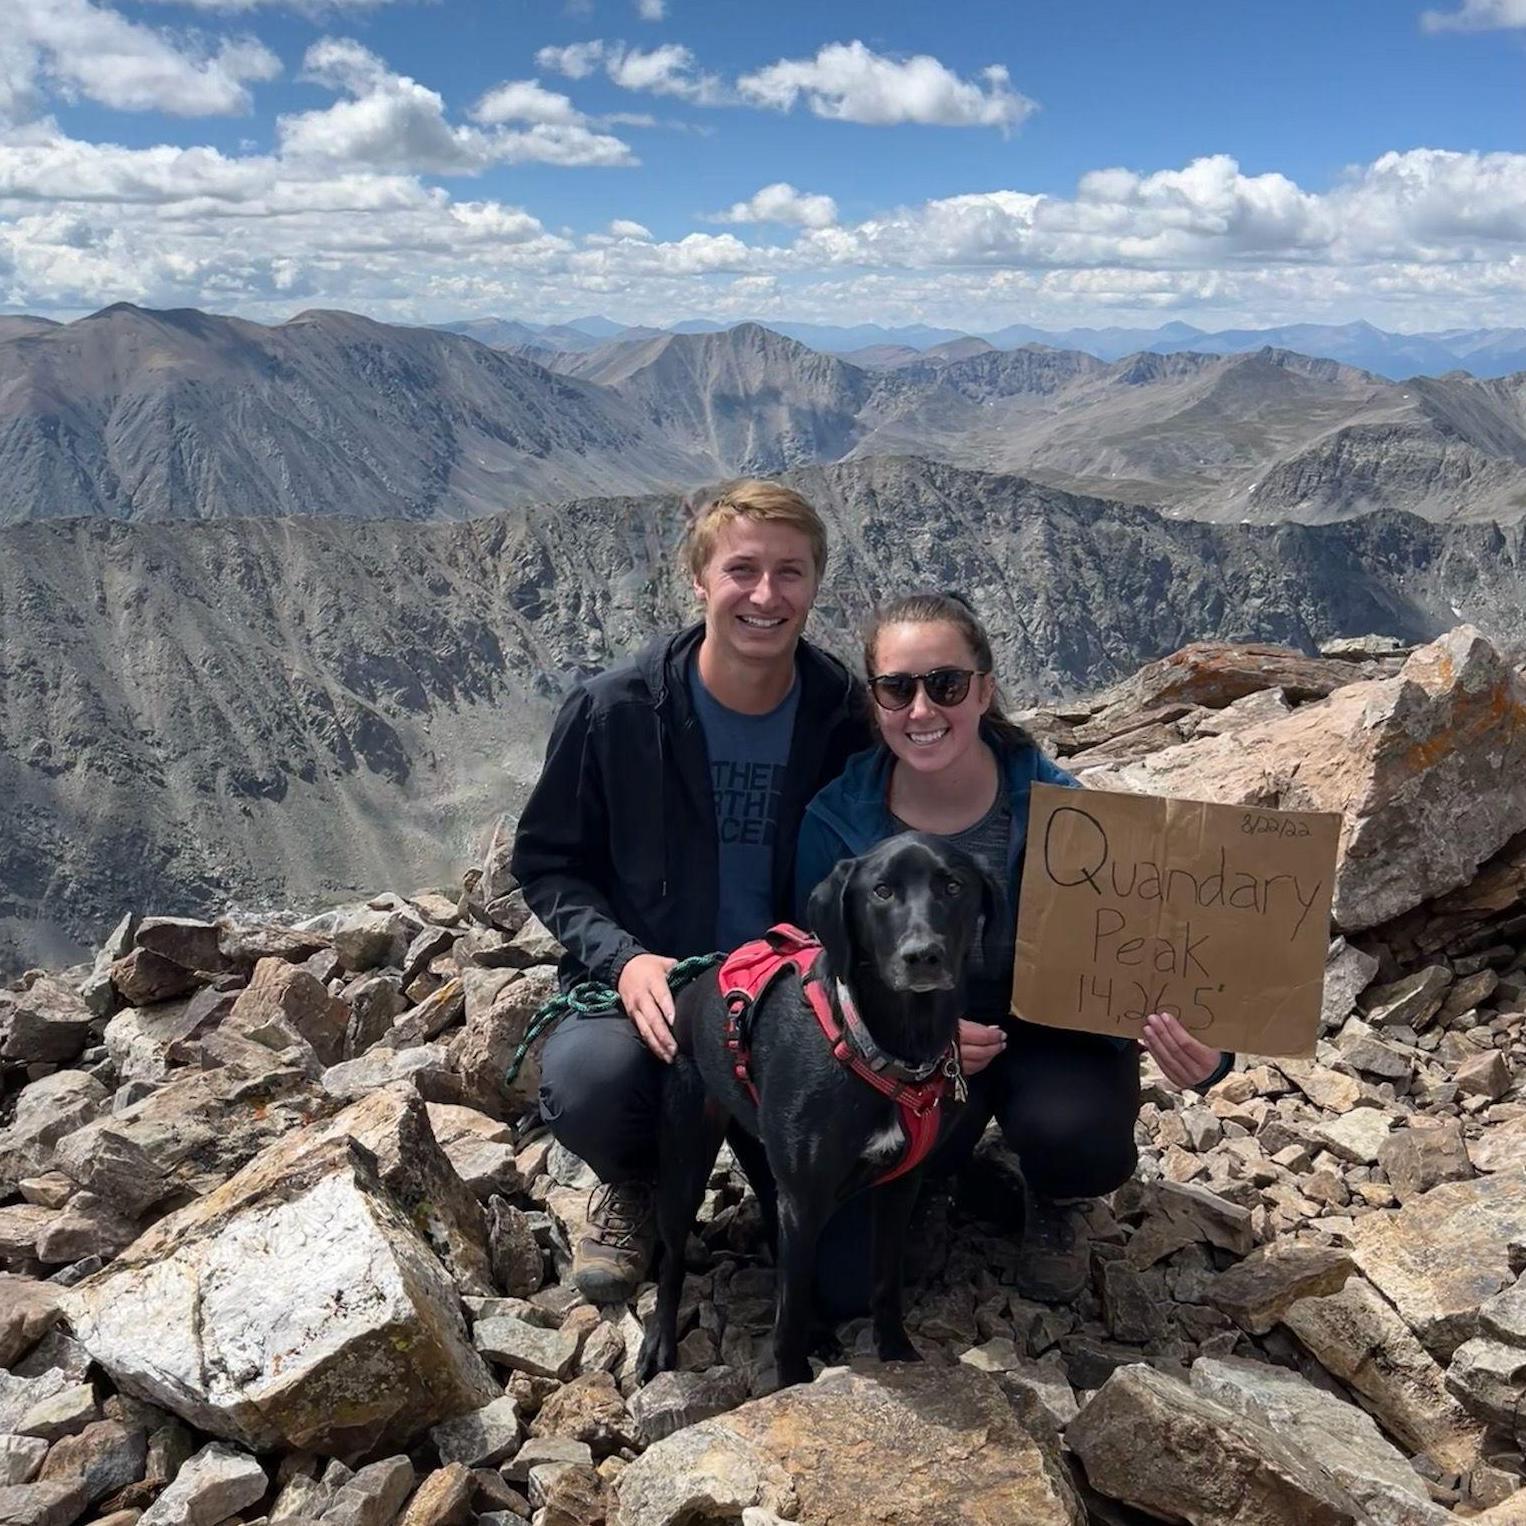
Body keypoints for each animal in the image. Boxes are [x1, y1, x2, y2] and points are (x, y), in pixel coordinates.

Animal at [631, 830, 988, 1391]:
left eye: (953, 886)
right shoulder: (804, 1196)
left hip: (764, 1161)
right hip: (687, 1158)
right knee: (671, 1259)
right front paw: (792, 1380)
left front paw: (899, 1354)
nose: (923, 956)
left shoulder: (899, 1188)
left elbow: (883, 1281)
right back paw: (660, 1344)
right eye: (881, 891)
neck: (879, 1046)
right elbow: (790, 1310)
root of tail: (688, 991)